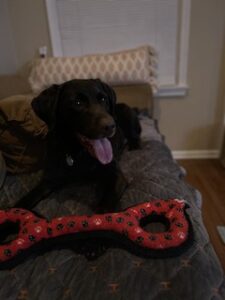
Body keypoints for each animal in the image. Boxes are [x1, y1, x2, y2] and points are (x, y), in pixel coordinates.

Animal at [14, 78, 141, 212]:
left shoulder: (116, 176)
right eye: (78, 102)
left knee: (135, 137)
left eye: (103, 99)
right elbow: (27, 199)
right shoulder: (49, 179)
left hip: (128, 114)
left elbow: (104, 209)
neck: (77, 152)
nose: (111, 126)